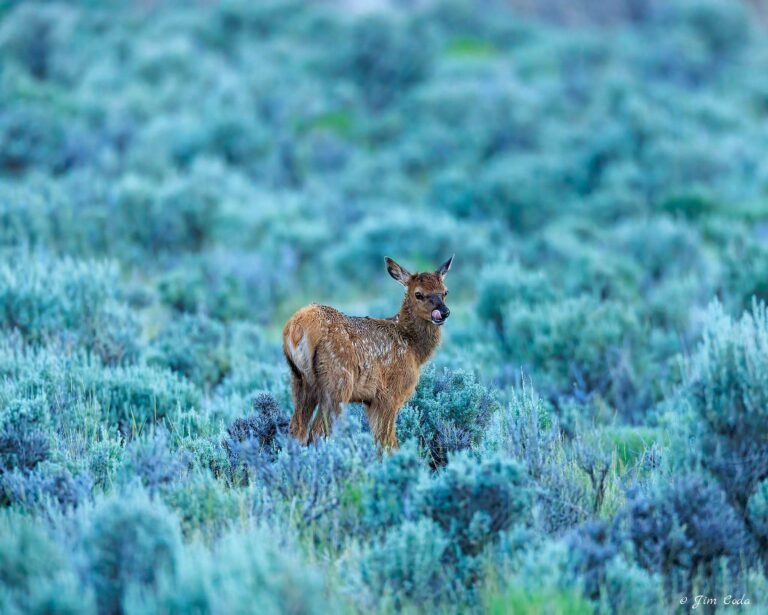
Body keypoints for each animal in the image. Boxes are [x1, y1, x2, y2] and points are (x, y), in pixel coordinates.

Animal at [282, 255, 453, 449]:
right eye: (418, 294)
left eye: (445, 292)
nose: (443, 312)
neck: (413, 349)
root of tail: (297, 326)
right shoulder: (389, 394)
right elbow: (387, 442)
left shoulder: (372, 401)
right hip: (337, 380)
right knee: (318, 431)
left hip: (300, 380)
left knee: (296, 428)